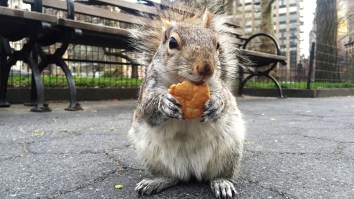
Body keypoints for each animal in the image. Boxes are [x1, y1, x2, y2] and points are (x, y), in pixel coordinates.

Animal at [128, 3, 246, 199]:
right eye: (172, 43)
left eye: (217, 44)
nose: (206, 68)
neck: (182, 80)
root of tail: (191, 171)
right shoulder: (148, 88)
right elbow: (147, 109)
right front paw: (164, 104)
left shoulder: (220, 87)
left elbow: (227, 100)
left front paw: (216, 104)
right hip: (152, 156)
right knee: (173, 177)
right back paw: (156, 181)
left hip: (230, 152)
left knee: (218, 174)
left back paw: (222, 183)